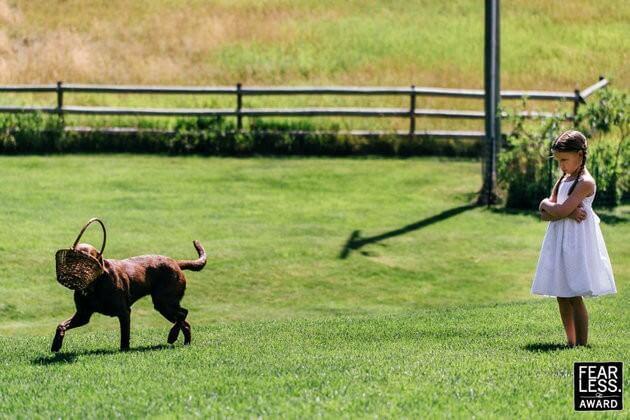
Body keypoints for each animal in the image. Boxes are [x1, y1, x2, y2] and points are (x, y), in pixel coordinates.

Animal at [51, 240, 207, 352]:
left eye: (88, 256)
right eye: (71, 255)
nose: (75, 270)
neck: (95, 285)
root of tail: (176, 262)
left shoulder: (124, 312)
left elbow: (125, 335)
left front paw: (124, 351)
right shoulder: (83, 315)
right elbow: (61, 325)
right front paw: (55, 345)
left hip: (164, 302)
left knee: (183, 314)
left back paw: (172, 336)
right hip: (165, 304)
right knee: (185, 321)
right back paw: (185, 343)